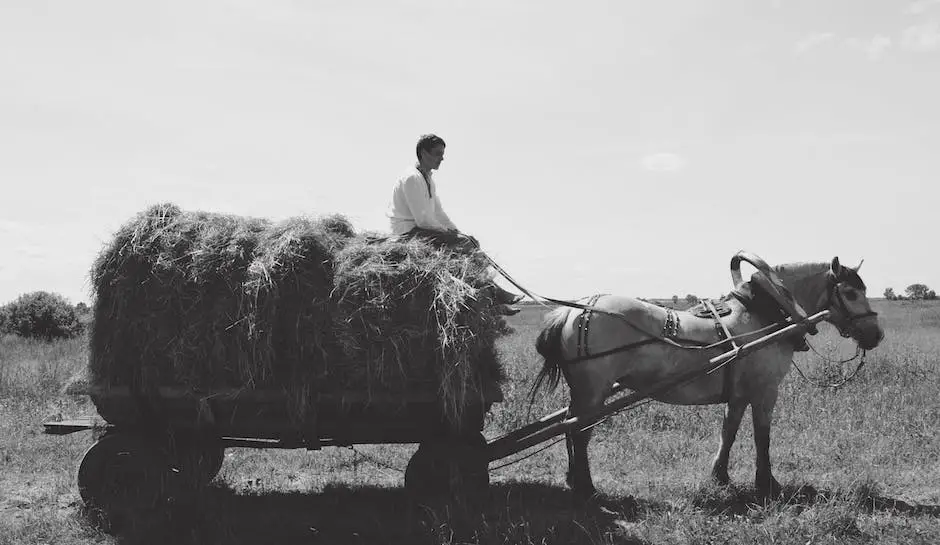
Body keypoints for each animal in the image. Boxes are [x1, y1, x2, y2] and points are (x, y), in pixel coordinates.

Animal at [532, 255, 884, 498]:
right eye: (851, 292)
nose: (876, 334)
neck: (764, 315)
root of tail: (574, 309)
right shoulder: (765, 391)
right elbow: (762, 436)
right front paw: (767, 483)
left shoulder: (739, 394)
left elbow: (729, 432)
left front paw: (720, 476)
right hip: (595, 391)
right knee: (580, 433)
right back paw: (587, 486)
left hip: (583, 392)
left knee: (570, 427)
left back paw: (573, 479)